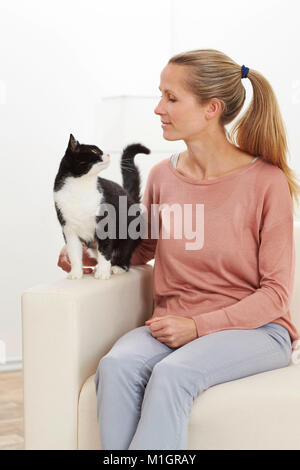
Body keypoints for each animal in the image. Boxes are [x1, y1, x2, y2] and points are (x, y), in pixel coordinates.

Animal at [53, 133, 150, 280]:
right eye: (94, 151)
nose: (108, 154)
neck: (80, 186)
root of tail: (129, 197)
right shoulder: (68, 229)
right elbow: (74, 253)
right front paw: (75, 273)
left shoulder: (105, 225)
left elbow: (105, 251)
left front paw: (103, 273)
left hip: (130, 232)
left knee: (124, 253)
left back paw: (118, 267)